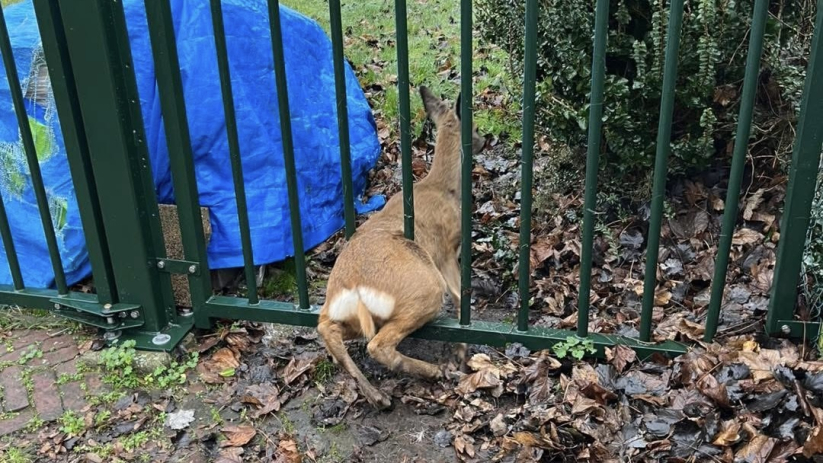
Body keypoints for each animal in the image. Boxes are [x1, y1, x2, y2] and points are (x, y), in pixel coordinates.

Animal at [314, 86, 482, 410]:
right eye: (475, 124)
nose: (485, 140)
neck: (443, 188)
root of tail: (353, 286)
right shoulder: (445, 251)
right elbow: (459, 296)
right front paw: (460, 353)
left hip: (348, 314)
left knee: (326, 328)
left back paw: (376, 396)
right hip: (425, 286)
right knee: (378, 345)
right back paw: (433, 372)